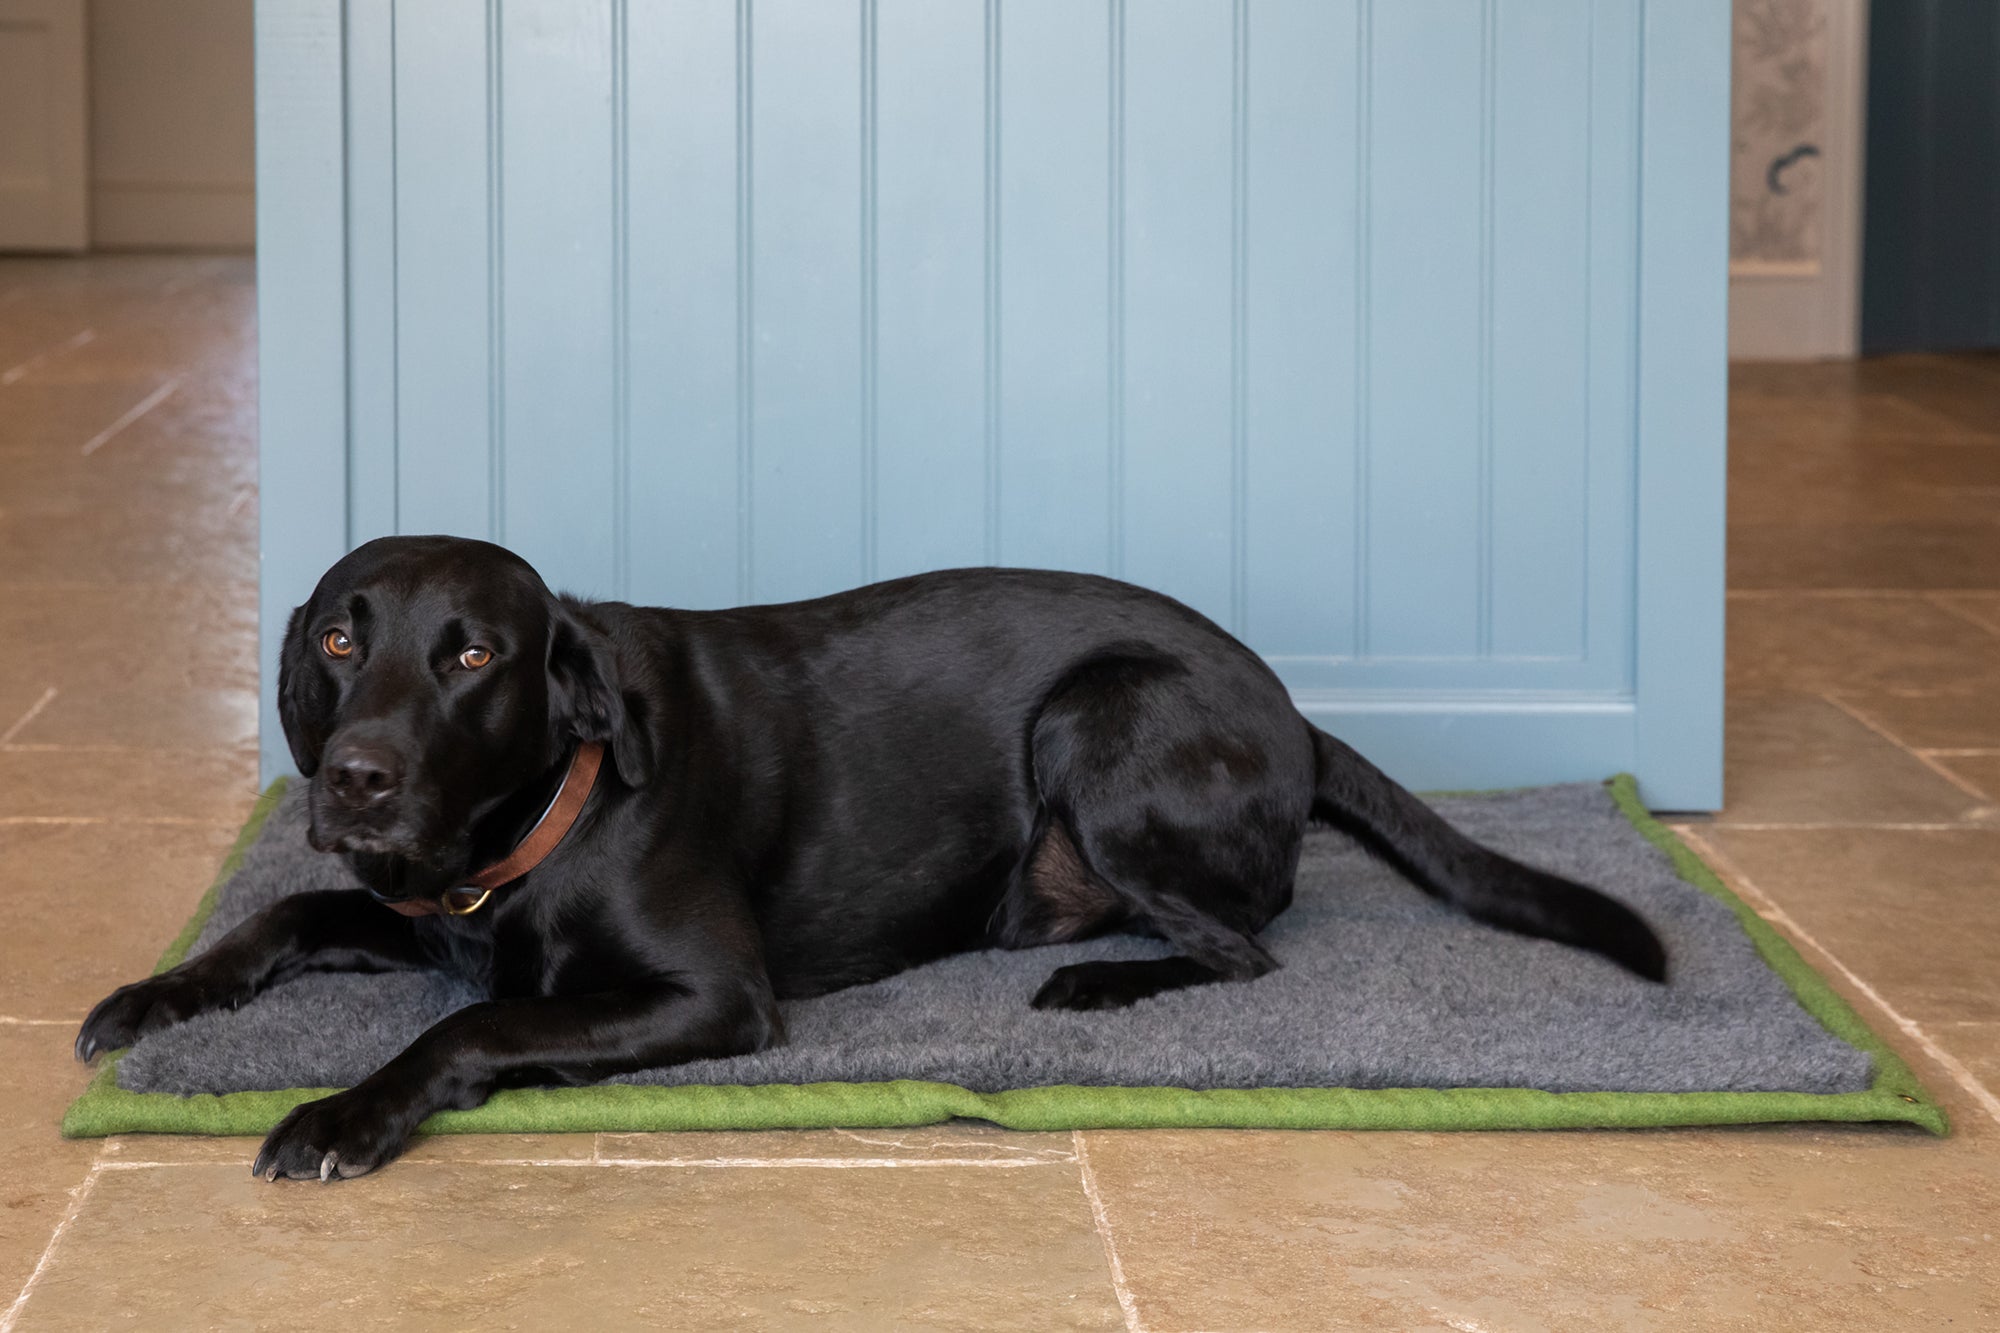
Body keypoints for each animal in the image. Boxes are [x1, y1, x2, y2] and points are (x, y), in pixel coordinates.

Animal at [78, 528, 1664, 1176]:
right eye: (343, 639)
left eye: (471, 653)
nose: (355, 776)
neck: (539, 820)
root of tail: (1295, 713)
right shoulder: (421, 905)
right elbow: (281, 913)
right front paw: (154, 995)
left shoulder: (711, 996)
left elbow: (469, 1025)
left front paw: (339, 1116)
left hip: (1099, 716)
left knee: (1245, 947)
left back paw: (1099, 986)